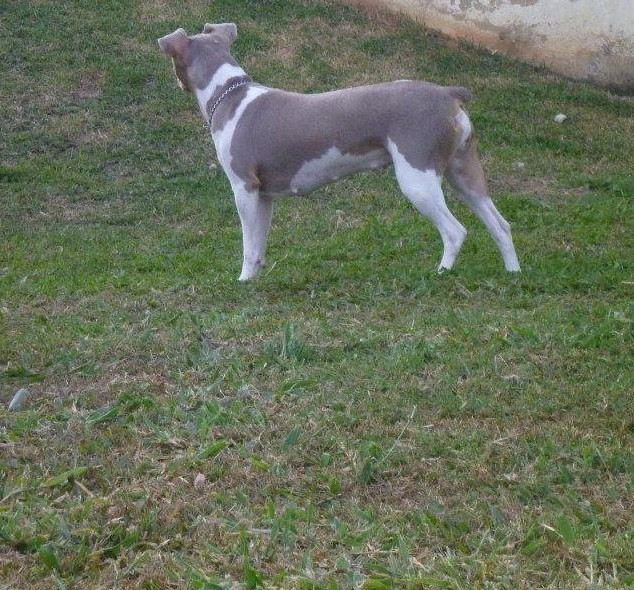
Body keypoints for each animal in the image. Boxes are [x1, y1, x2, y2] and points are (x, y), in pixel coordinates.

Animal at [158, 23, 520, 282]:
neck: (230, 94)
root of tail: (448, 94)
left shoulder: (244, 188)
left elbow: (248, 245)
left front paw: (242, 282)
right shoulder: (264, 195)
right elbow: (259, 242)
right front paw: (254, 280)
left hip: (417, 179)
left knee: (455, 231)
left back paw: (440, 274)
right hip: (463, 172)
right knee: (500, 224)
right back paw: (513, 274)